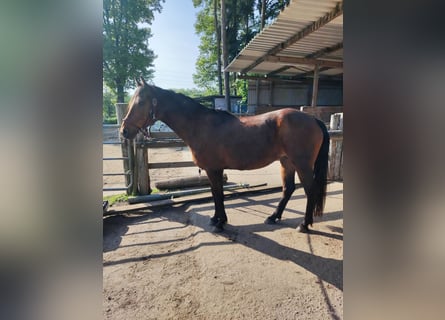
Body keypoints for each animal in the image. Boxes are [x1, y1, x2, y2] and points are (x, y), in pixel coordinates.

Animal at [119, 77, 328, 232]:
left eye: (140, 102)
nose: (124, 131)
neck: (200, 125)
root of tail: (313, 119)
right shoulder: (213, 170)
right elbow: (214, 193)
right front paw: (216, 218)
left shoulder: (214, 169)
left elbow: (219, 195)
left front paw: (220, 222)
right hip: (287, 163)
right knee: (288, 189)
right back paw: (273, 217)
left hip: (302, 165)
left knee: (310, 190)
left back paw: (304, 224)